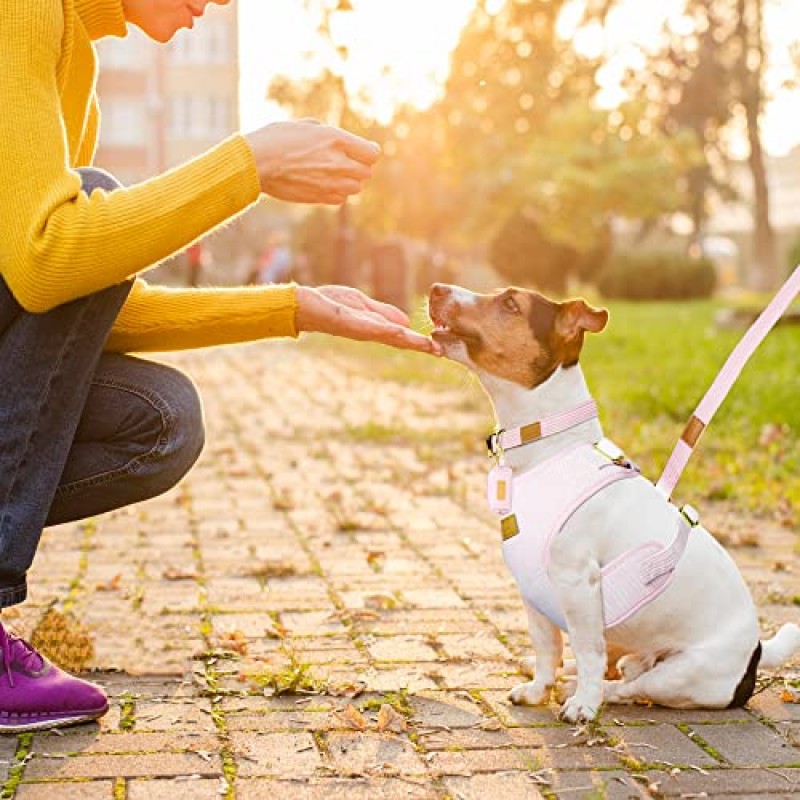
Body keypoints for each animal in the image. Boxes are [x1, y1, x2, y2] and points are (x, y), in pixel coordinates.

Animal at [428, 284, 800, 720]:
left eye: (510, 303)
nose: (436, 288)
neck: (549, 448)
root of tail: (756, 652)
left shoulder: (579, 583)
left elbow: (588, 650)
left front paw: (583, 704)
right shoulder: (532, 590)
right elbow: (546, 647)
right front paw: (538, 690)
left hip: (682, 674)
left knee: (632, 686)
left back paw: (593, 689)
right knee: (622, 666)